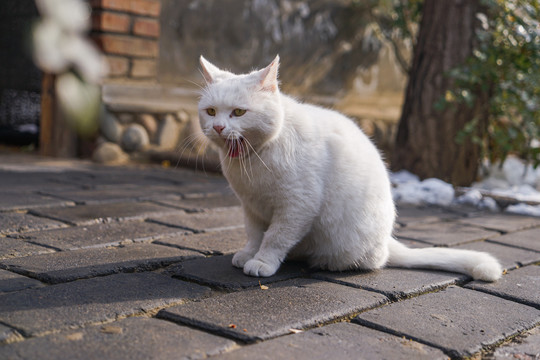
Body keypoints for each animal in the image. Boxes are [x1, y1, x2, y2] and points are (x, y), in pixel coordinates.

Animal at [197, 55, 502, 282]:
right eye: (211, 111)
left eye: (238, 112)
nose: (218, 127)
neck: (251, 161)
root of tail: (387, 241)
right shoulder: (251, 206)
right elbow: (253, 234)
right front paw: (249, 254)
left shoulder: (297, 206)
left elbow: (275, 238)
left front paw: (262, 262)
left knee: (370, 262)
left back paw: (324, 263)